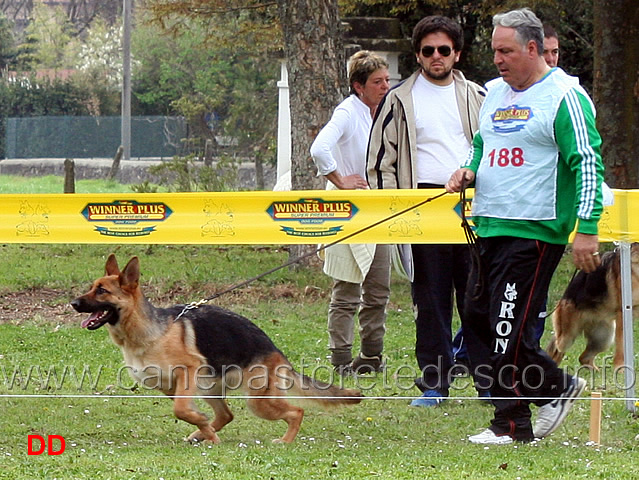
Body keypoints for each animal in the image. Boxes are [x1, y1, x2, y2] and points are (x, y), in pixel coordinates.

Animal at [72, 253, 362, 444]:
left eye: (102, 291)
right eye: (92, 287)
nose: (73, 303)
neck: (147, 332)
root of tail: (276, 351)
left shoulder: (187, 372)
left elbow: (181, 410)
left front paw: (203, 427)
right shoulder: (169, 386)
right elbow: (186, 411)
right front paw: (204, 429)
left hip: (257, 401)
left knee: (296, 411)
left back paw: (285, 441)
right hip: (209, 388)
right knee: (226, 414)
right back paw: (203, 434)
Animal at [548, 244, 639, 372]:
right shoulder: (623, 313)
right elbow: (622, 346)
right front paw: (621, 369)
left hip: (604, 337)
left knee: (583, 358)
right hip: (567, 337)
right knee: (556, 349)